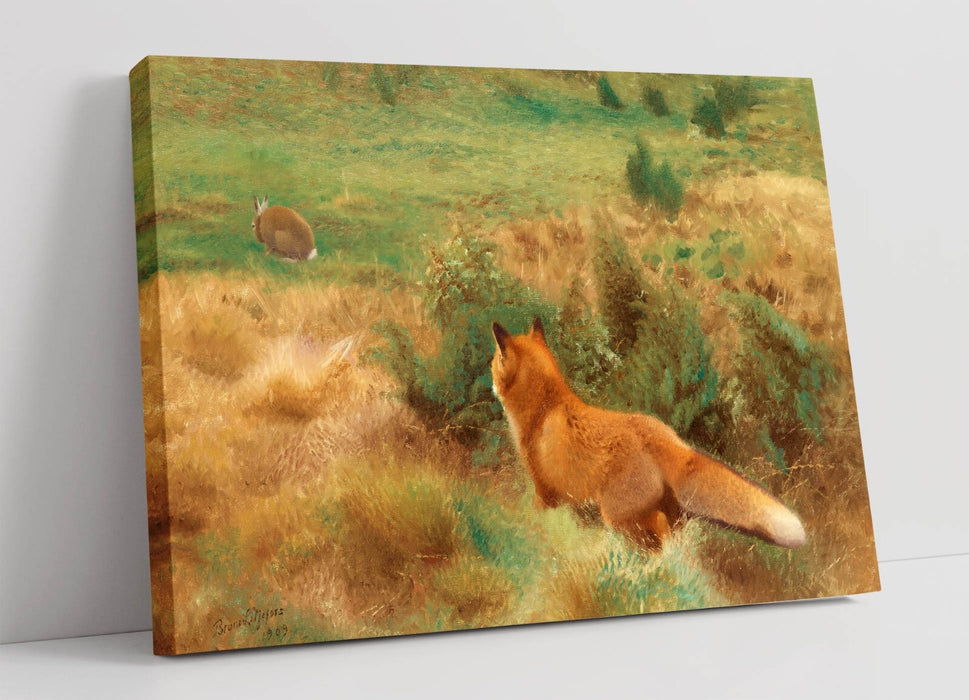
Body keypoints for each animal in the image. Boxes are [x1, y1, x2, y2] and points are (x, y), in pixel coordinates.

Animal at [490, 317, 806, 551]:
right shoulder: (570, 501)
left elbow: (535, 520)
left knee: (655, 536)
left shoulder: (544, 492)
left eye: (493, 363)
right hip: (667, 515)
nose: (489, 381)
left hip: (619, 517)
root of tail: (670, 440)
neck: (544, 407)